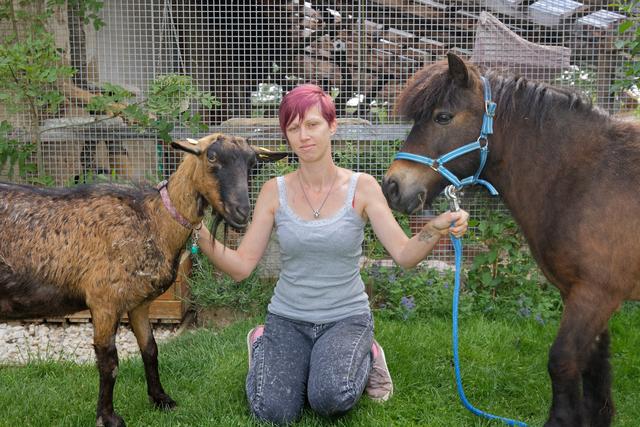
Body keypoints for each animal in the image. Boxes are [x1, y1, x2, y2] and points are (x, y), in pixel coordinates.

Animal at [0, 132, 284, 426]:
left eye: (253, 163)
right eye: (212, 157)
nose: (241, 212)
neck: (151, 219)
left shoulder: (138, 303)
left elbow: (150, 349)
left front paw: (161, 399)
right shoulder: (104, 301)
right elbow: (109, 362)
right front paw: (108, 417)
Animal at [382, 53, 640, 427]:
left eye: (442, 117)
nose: (392, 186)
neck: (586, 178)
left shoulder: (595, 294)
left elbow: (562, 362)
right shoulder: (580, 293)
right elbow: (594, 367)